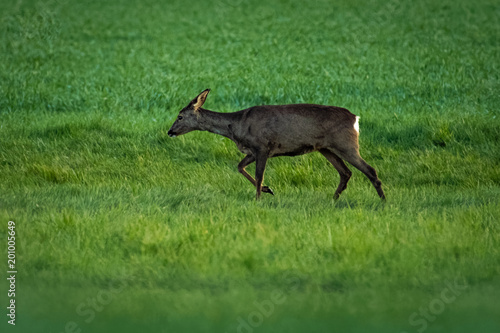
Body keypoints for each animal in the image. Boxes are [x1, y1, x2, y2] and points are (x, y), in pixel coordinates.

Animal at [168, 88, 386, 200]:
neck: (236, 126)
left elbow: (258, 174)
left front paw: (258, 198)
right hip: (326, 148)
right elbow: (239, 167)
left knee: (370, 170)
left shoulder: (263, 146)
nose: (170, 132)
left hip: (346, 144)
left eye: (180, 116)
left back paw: (383, 201)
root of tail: (355, 119)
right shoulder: (252, 151)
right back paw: (333, 199)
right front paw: (267, 190)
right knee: (345, 172)